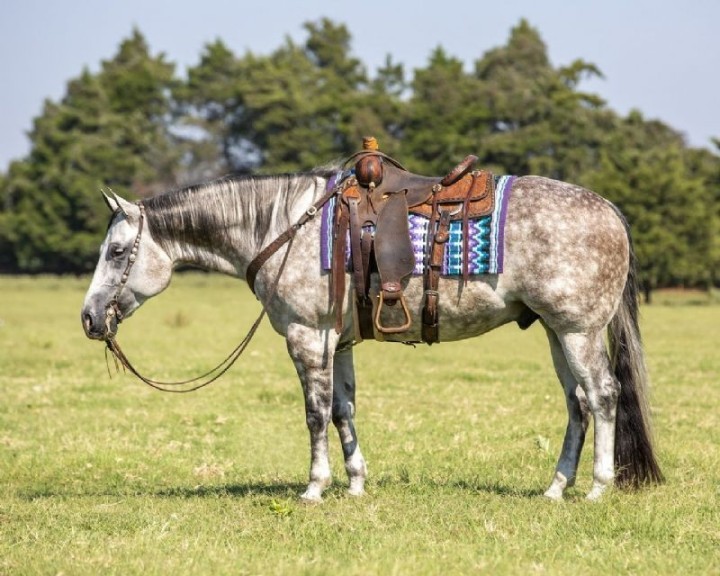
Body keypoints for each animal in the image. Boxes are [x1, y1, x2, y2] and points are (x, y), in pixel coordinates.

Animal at [81, 167, 664, 502]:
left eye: (117, 251)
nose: (88, 318)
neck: (283, 226)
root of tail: (610, 211)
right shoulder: (336, 342)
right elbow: (343, 409)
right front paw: (357, 484)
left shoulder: (306, 336)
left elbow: (315, 413)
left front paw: (315, 488)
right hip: (555, 332)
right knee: (577, 403)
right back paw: (556, 488)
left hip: (577, 330)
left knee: (603, 395)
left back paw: (597, 488)